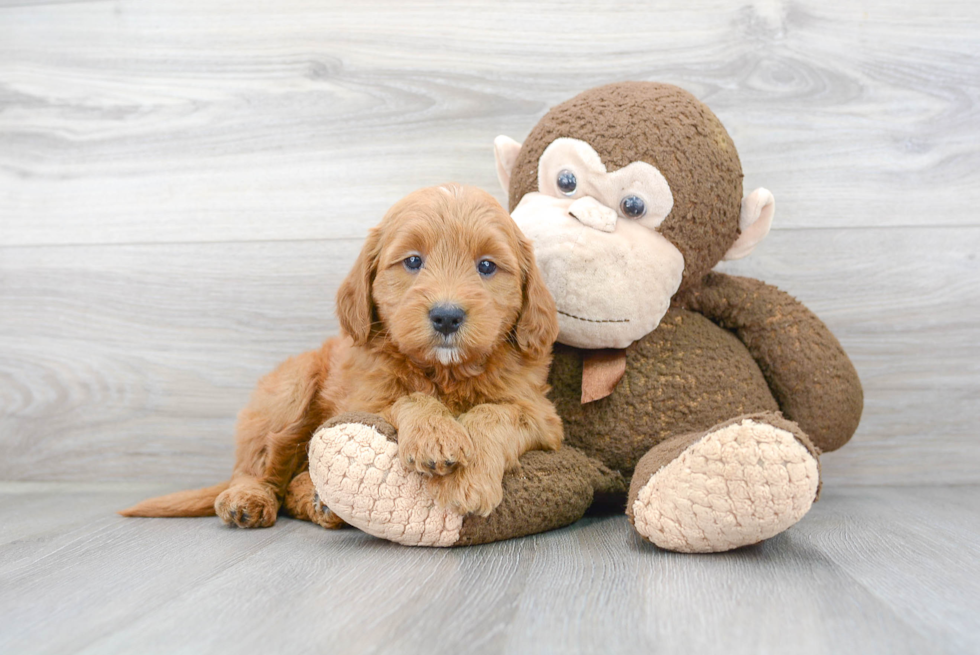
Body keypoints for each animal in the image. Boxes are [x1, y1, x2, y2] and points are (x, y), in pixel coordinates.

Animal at [121, 183, 564, 528]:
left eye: (487, 266)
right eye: (413, 261)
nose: (447, 316)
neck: (444, 373)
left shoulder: (541, 415)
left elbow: (495, 413)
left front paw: (469, 480)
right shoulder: (363, 399)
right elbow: (409, 397)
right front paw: (434, 436)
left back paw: (319, 503)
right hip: (291, 388)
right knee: (258, 467)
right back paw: (247, 499)